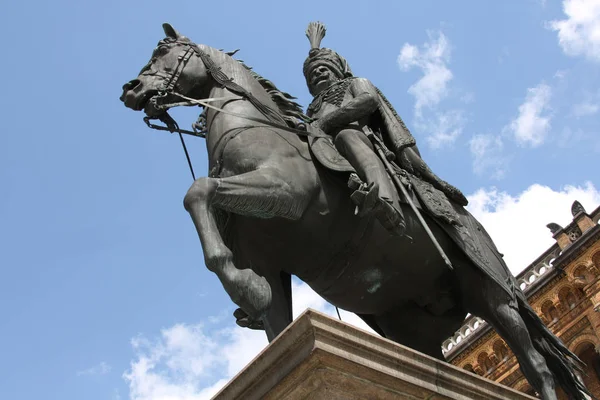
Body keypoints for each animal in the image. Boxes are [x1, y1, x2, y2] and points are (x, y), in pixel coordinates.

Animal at [119, 25, 588, 400]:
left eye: (163, 53)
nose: (130, 89)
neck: (253, 129)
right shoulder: (269, 263)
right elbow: (272, 317)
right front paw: (250, 294)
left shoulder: (284, 192)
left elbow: (197, 190)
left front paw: (244, 289)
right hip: (408, 326)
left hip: (493, 294)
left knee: (538, 366)